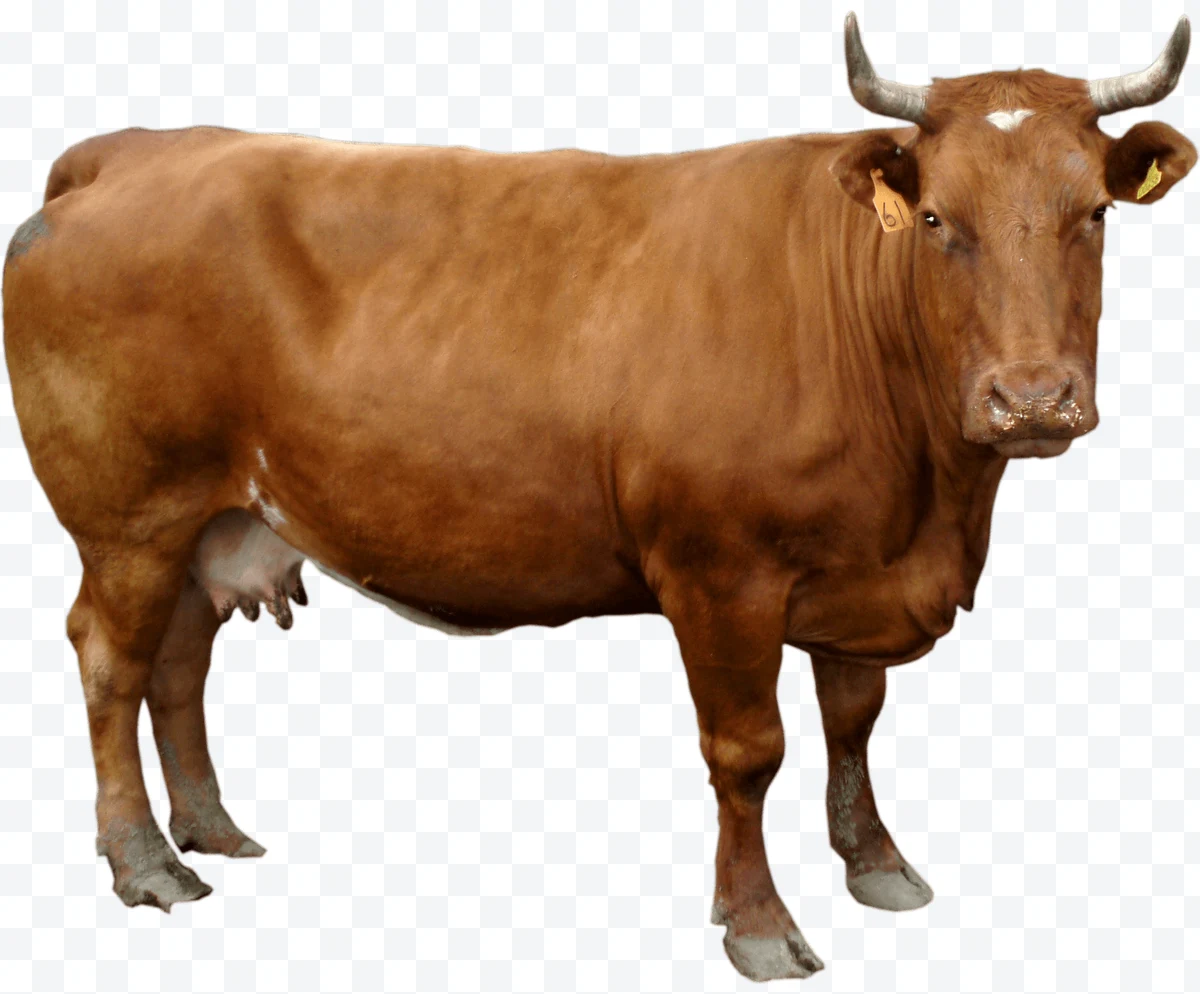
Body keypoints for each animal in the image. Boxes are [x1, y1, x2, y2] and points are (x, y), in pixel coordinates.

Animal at [2, 12, 1193, 982]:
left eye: (1094, 212)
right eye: (940, 218)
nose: (1031, 399)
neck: (929, 502)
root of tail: (131, 150)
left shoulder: (859, 569)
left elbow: (853, 721)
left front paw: (878, 863)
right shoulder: (720, 573)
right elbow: (748, 751)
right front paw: (760, 925)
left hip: (211, 517)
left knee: (179, 662)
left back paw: (208, 827)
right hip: (128, 518)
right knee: (111, 661)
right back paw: (145, 861)